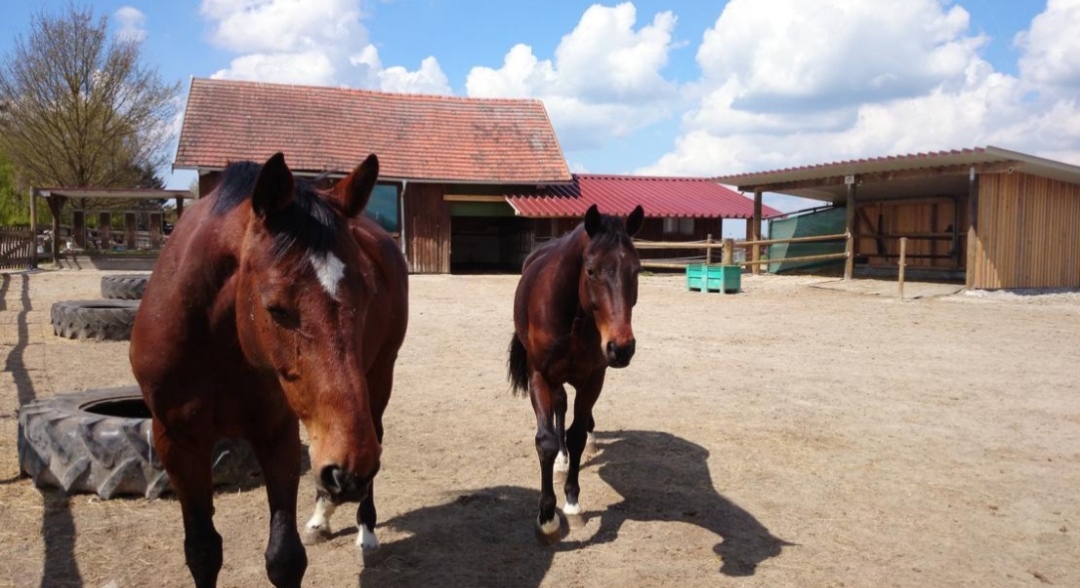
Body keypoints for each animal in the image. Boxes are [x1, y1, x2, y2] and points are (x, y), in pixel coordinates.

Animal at [130, 152, 408, 588]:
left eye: (366, 296)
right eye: (276, 309)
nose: (349, 472)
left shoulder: (276, 433)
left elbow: (284, 558)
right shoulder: (176, 441)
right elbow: (203, 552)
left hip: (378, 379)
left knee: (373, 433)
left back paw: (365, 529)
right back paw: (322, 516)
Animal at [507, 203, 644, 541]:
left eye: (636, 270)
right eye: (591, 270)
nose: (621, 348)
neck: (572, 317)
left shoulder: (593, 379)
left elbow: (578, 435)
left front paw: (572, 503)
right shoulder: (540, 377)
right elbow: (545, 440)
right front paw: (547, 516)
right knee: (559, 407)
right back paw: (560, 459)